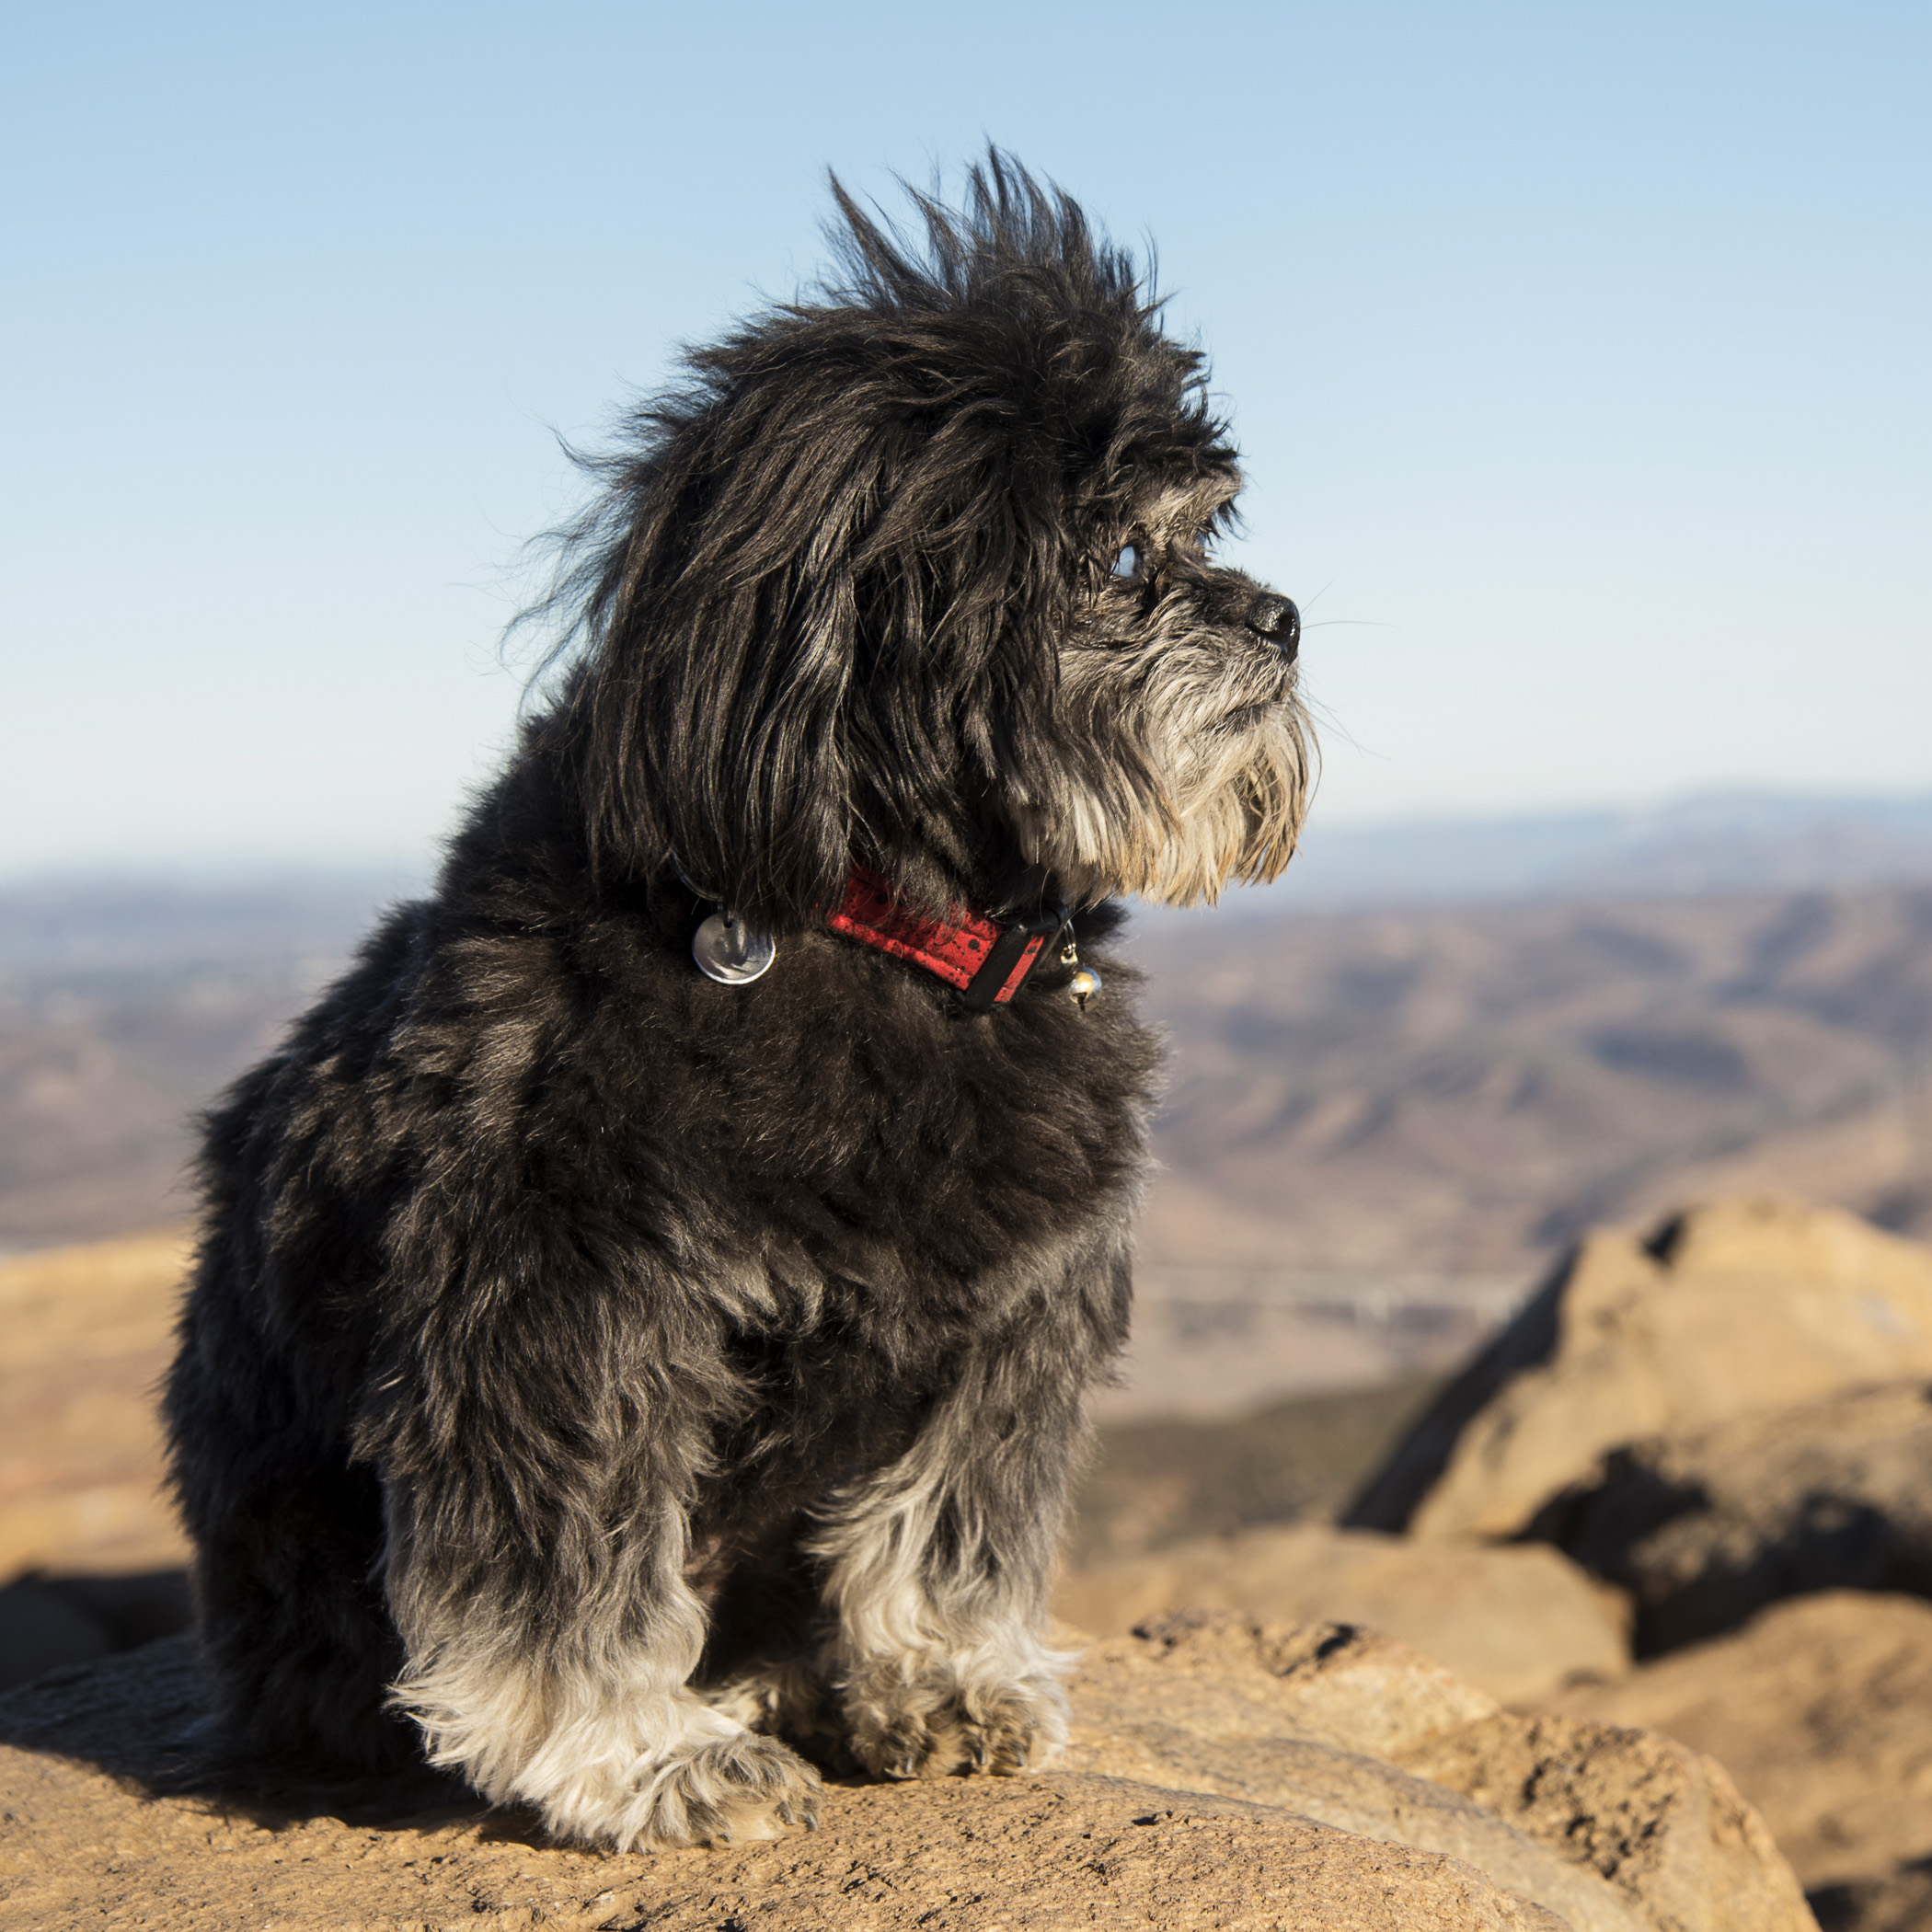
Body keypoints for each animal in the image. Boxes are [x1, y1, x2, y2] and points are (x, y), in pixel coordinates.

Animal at [166, 146, 1313, 1839]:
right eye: (1121, 556)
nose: (1284, 617)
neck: (894, 930)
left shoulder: (1013, 1313)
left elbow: (942, 1523)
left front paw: (939, 1682)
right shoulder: (557, 1295)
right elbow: (567, 1563)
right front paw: (642, 1755)